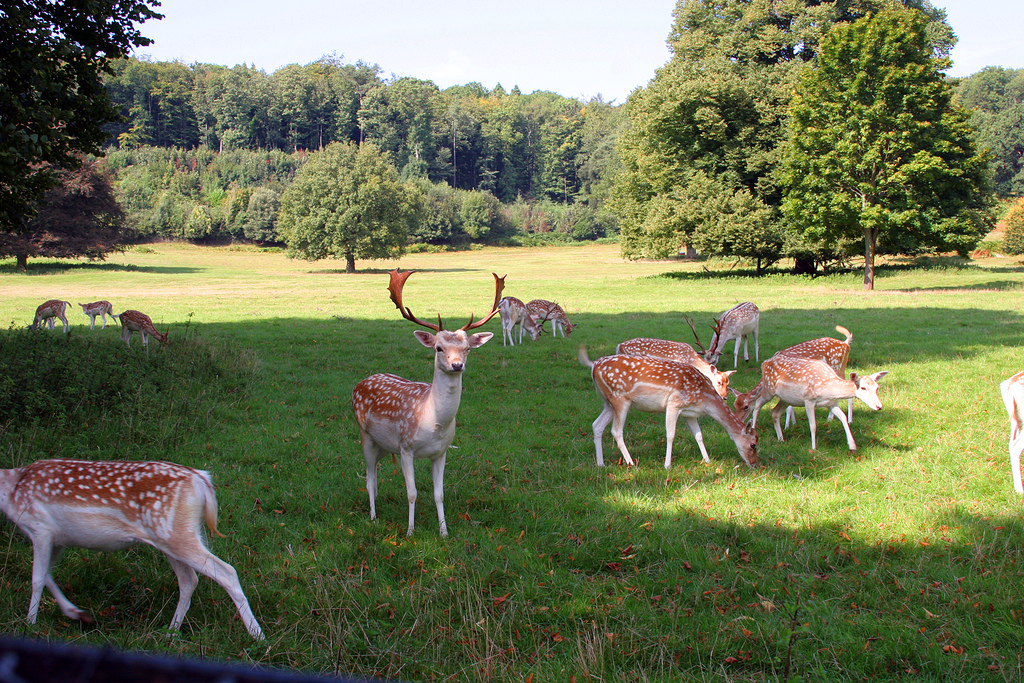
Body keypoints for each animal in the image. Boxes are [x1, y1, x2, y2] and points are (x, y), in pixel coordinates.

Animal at [0, 458, 268, 643]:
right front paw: (76, 613)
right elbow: (47, 575)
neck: (11, 490)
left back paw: (258, 636)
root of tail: (201, 480)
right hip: (172, 536)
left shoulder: (40, 529)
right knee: (189, 580)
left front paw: (29, 625)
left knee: (226, 571)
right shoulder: (59, 540)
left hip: (175, 534)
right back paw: (170, 632)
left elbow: (36, 578)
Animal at [352, 270, 503, 536]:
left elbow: (439, 494)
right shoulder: (406, 447)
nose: (457, 365)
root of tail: (361, 382)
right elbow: (412, 493)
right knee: (369, 477)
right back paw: (373, 516)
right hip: (365, 435)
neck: (433, 421)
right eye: (438, 348)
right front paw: (410, 532)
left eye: (467, 349)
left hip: (384, 445)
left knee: (375, 475)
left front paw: (444, 532)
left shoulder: (441, 451)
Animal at [577, 348, 761, 471]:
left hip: (608, 402)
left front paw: (707, 460)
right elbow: (671, 435)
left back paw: (600, 463)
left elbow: (699, 436)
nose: (754, 464)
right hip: (619, 398)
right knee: (616, 431)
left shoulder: (690, 414)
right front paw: (667, 465)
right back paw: (631, 463)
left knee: (596, 425)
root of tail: (594, 366)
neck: (704, 398)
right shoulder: (674, 404)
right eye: (753, 444)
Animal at [741, 356, 884, 450]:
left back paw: (781, 438)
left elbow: (843, 417)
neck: (829, 388)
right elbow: (813, 424)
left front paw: (852, 446)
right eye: (863, 387)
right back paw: (753, 428)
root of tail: (764, 363)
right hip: (769, 389)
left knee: (774, 412)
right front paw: (814, 447)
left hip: (786, 399)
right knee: (758, 403)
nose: (879, 406)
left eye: (877, 387)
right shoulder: (809, 400)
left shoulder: (831, 404)